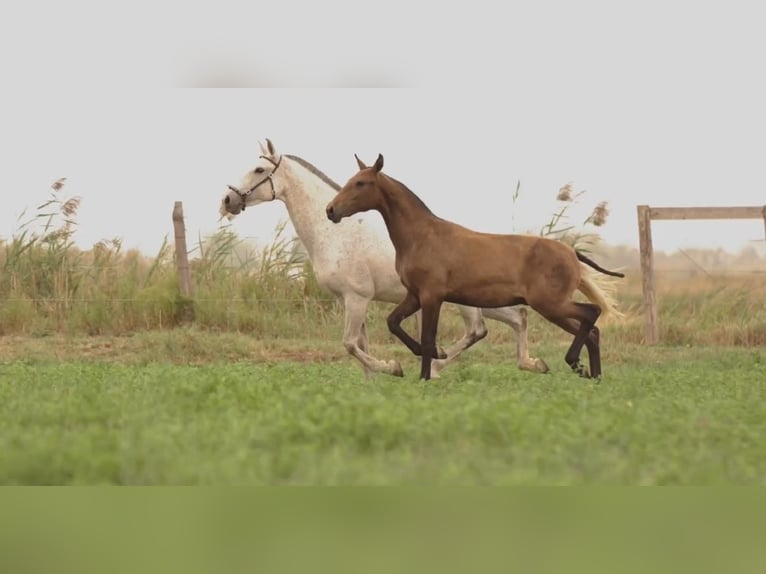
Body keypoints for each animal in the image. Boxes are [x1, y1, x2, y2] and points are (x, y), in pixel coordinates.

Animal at [219, 141, 548, 378]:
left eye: (259, 169)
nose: (228, 200)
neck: (334, 234)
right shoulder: (349, 300)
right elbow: (359, 345)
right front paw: (372, 383)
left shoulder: (357, 298)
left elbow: (350, 343)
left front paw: (393, 368)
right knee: (517, 317)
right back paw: (532, 363)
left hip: (466, 303)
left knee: (479, 329)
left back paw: (437, 365)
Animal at [324, 153, 624, 382]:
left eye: (361, 183)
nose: (330, 210)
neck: (422, 236)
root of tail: (572, 253)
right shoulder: (415, 295)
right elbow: (394, 323)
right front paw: (431, 358)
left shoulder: (432, 296)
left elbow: (428, 337)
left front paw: (427, 371)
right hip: (552, 308)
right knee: (593, 331)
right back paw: (592, 375)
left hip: (551, 304)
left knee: (592, 314)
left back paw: (575, 363)